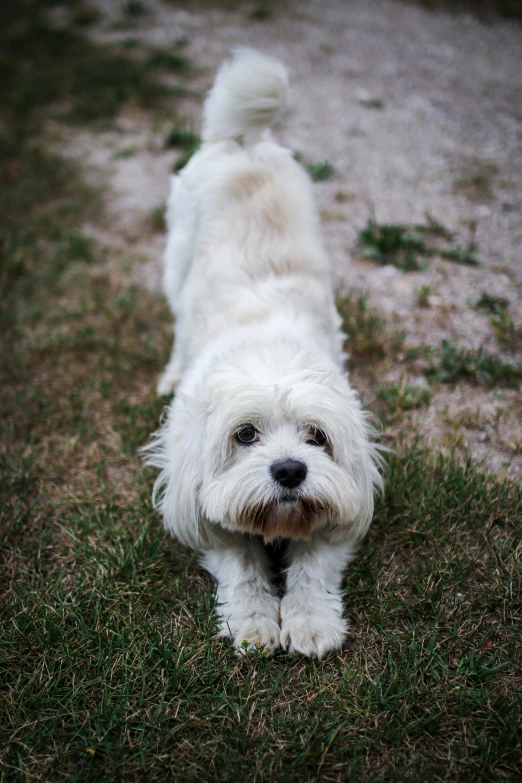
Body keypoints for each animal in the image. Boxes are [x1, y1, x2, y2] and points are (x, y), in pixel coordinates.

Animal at [142, 49, 382, 660]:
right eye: (245, 434)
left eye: (317, 437)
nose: (291, 470)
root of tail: (243, 141)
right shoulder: (201, 498)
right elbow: (241, 565)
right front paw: (253, 621)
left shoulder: (343, 497)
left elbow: (314, 565)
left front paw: (310, 621)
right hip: (176, 257)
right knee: (177, 321)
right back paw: (169, 369)